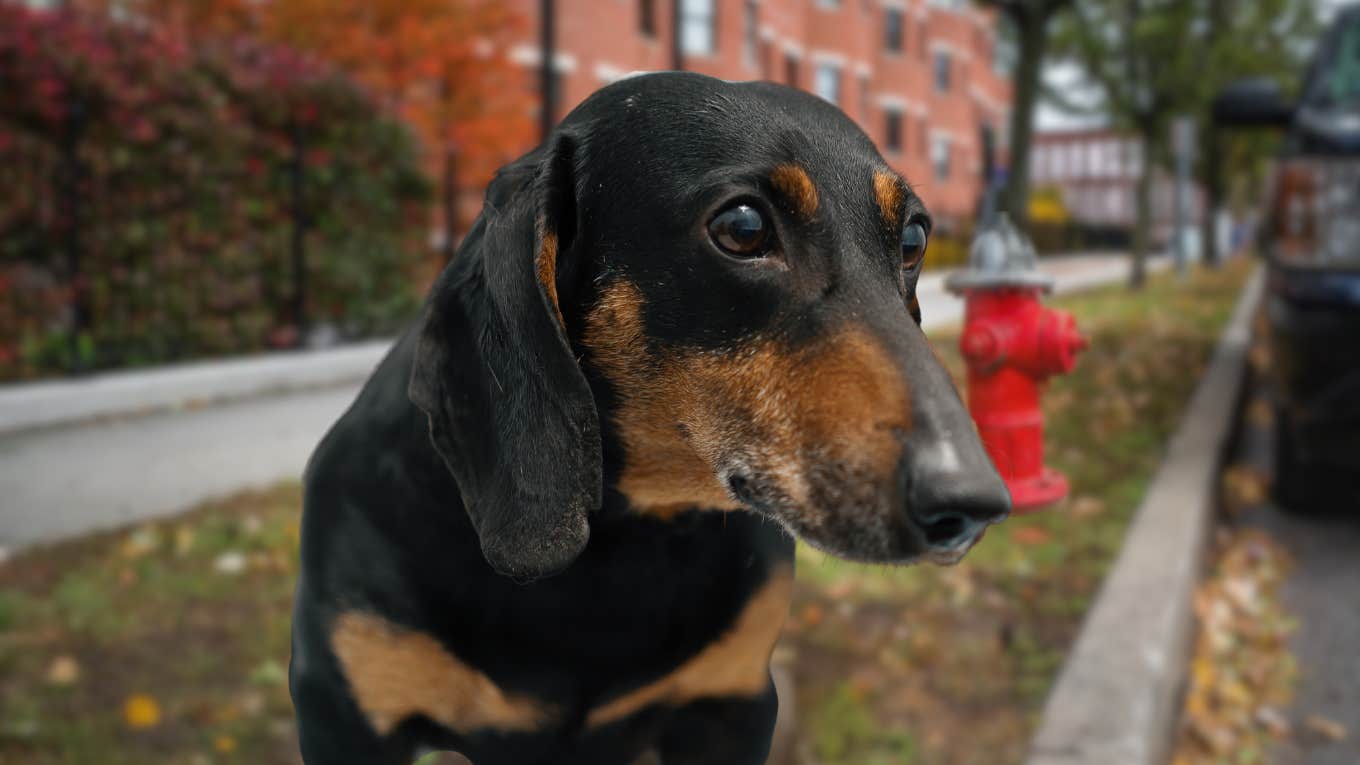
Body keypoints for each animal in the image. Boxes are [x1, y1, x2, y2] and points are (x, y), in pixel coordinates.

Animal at [286, 72, 1011, 762]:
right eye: (743, 228)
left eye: (914, 237)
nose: (975, 504)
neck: (618, 546)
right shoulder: (342, 712)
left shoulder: (733, 704)